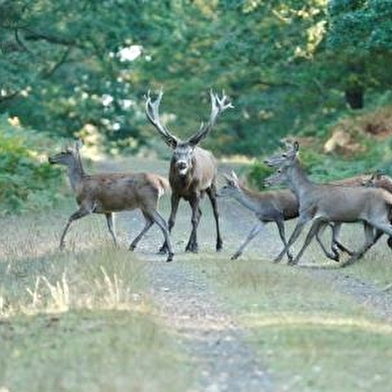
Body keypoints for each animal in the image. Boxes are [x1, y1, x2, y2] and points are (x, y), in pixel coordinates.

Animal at [146, 90, 233, 253]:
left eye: (190, 152)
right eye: (175, 152)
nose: (182, 164)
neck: (185, 184)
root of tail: (211, 156)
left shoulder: (196, 192)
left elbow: (193, 219)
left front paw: (196, 246)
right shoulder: (175, 192)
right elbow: (171, 220)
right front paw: (164, 247)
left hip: (211, 185)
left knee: (215, 213)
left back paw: (217, 244)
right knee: (200, 213)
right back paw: (189, 245)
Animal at [262, 142, 392, 268]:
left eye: (283, 155)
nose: (266, 161)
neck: (303, 192)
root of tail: (386, 196)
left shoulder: (307, 214)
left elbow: (296, 237)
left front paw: (283, 259)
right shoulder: (323, 218)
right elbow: (314, 237)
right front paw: (334, 256)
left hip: (377, 217)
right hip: (368, 221)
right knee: (369, 240)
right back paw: (347, 262)